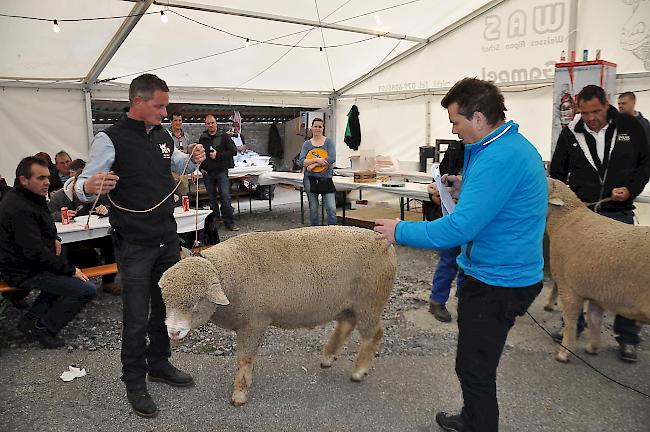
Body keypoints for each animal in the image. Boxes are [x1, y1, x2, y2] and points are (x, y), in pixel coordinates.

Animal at [159, 226, 398, 404]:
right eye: (165, 300)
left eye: (195, 302)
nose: (173, 332)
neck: (227, 276)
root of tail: (383, 241)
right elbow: (249, 358)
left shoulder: (253, 322)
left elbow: (244, 359)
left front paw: (240, 393)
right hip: (351, 302)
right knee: (346, 325)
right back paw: (328, 357)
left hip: (371, 300)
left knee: (374, 334)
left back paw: (359, 370)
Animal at [544, 177, 644, 362]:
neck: (565, 218)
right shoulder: (597, 291)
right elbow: (594, 319)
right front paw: (593, 347)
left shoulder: (568, 287)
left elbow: (570, 319)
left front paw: (564, 352)